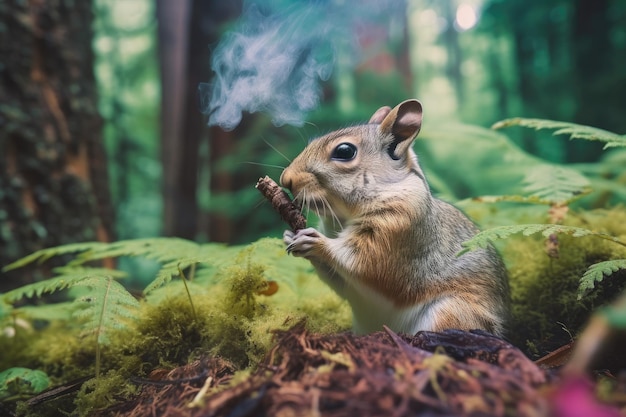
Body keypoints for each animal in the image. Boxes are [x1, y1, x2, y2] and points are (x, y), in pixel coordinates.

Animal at [280, 99, 510, 336]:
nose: (286, 179)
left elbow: (362, 260)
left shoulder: (397, 230)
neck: (344, 216)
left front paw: (315, 242)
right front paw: (290, 237)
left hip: (450, 311)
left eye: (345, 151)